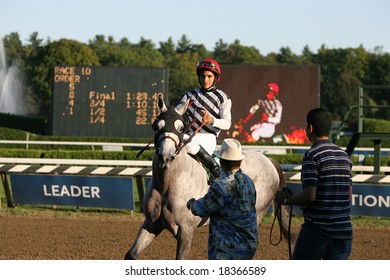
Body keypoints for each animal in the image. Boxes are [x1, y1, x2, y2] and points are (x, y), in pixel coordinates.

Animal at [125, 94, 290, 260]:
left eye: (181, 128)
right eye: (156, 126)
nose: (166, 157)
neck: (167, 183)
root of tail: (269, 160)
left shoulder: (185, 230)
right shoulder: (151, 224)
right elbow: (131, 254)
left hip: (255, 215)